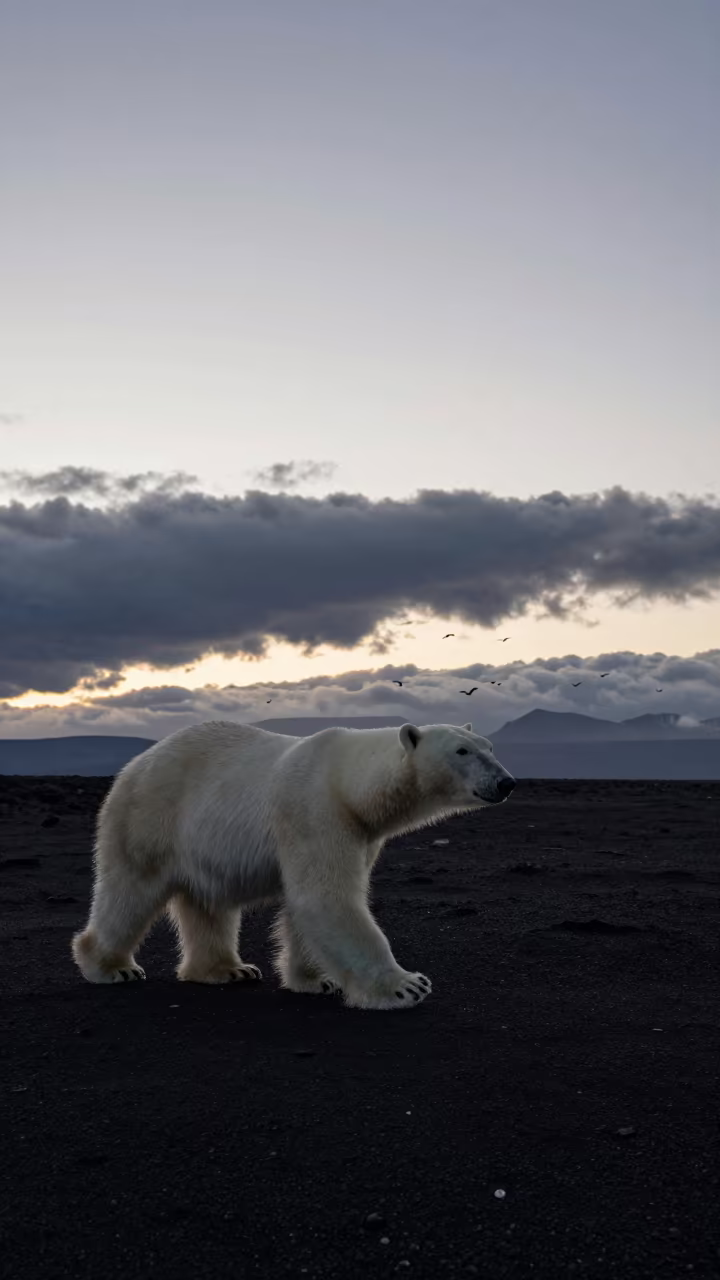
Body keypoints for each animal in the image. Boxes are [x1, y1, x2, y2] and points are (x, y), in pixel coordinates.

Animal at [72, 719, 515, 1010]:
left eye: (490, 747)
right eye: (462, 751)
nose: (506, 781)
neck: (348, 782)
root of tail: (134, 765)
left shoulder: (361, 833)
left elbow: (308, 904)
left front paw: (317, 980)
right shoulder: (316, 810)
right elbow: (326, 898)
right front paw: (406, 986)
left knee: (208, 903)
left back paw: (227, 969)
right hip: (149, 816)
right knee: (129, 891)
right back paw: (110, 967)